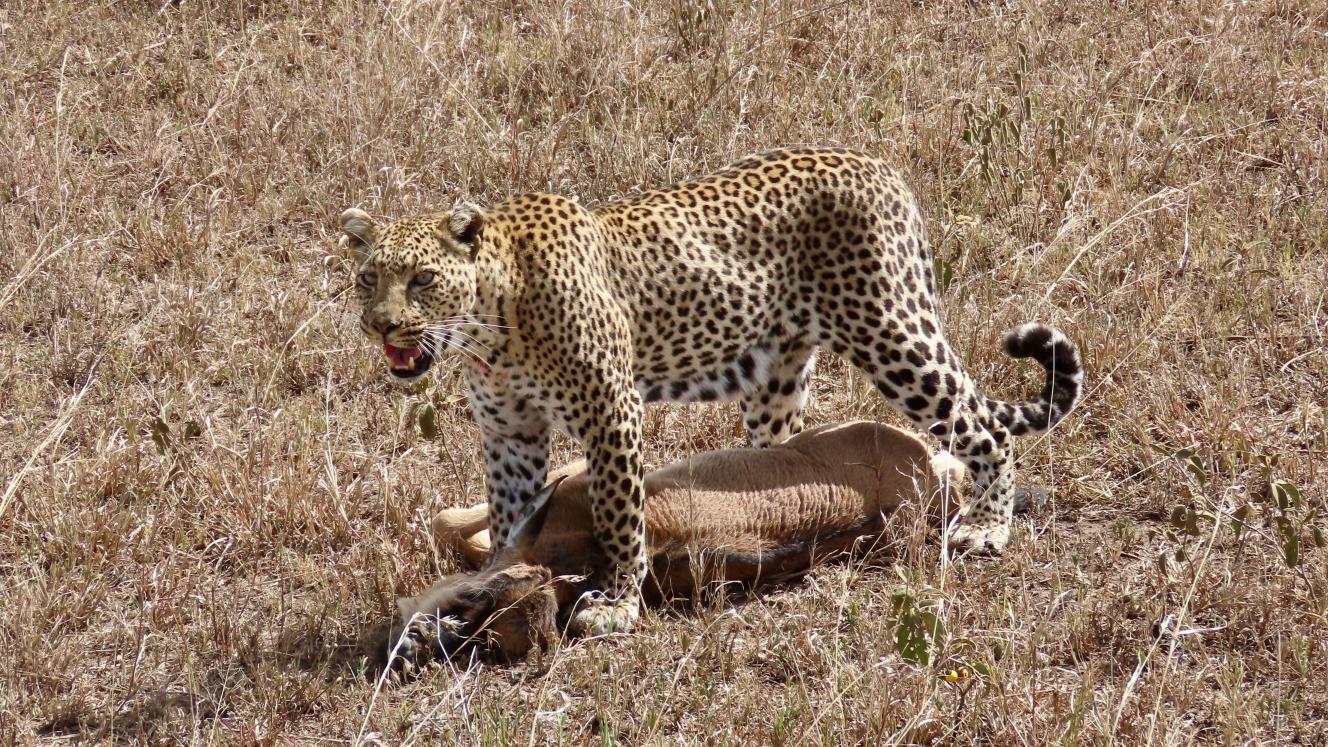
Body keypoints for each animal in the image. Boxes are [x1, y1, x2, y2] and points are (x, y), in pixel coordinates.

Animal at [339, 146, 1084, 637]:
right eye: (369, 278)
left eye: (423, 279)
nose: (380, 323)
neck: (489, 327)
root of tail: (877, 165)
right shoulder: (510, 433)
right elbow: (508, 516)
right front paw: (497, 576)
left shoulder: (611, 413)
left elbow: (618, 514)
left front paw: (616, 600)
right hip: (778, 377)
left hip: (888, 329)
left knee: (982, 423)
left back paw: (987, 525)